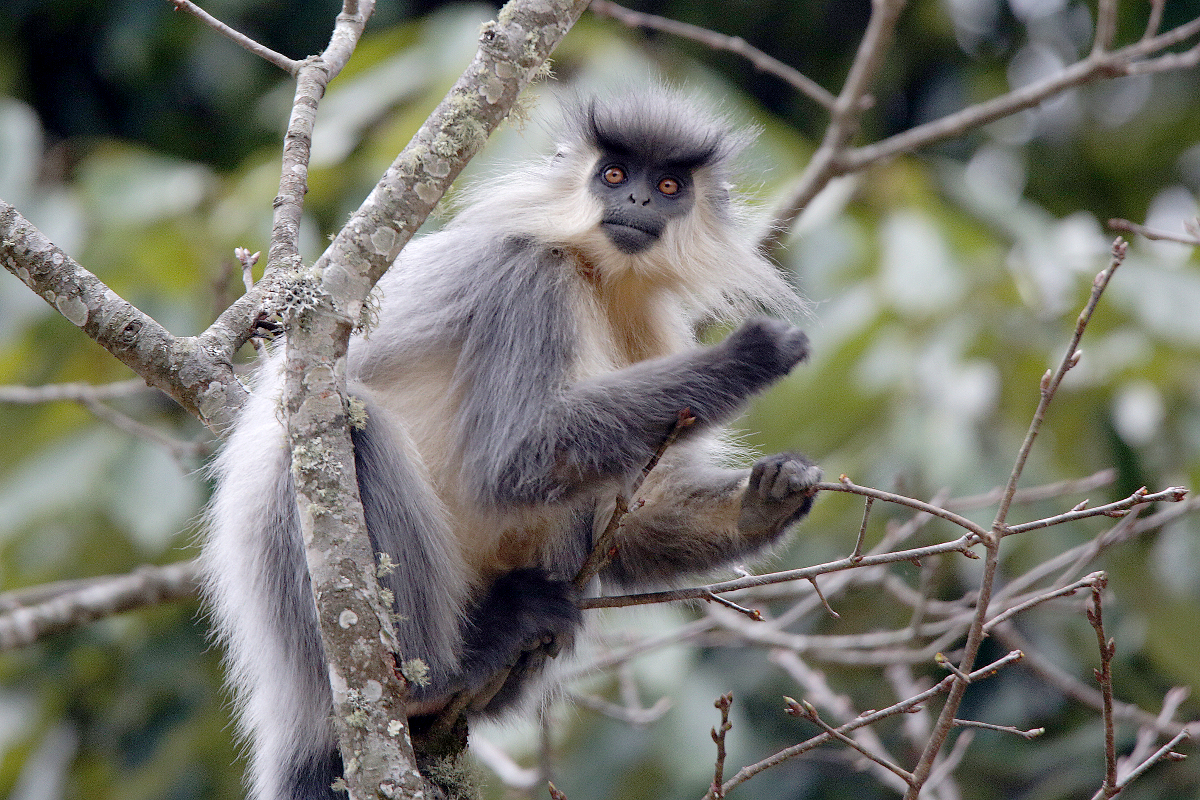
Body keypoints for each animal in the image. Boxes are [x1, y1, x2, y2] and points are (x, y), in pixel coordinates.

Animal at [204, 87, 825, 800]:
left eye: (669, 186)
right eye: (614, 174)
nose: (639, 200)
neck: (597, 275)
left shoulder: (653, 323)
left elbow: (635, 518)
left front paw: (770, 498)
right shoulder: (526, 279)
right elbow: (511, 459)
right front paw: (750, 355)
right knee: (355, 427)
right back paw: (436, 679)